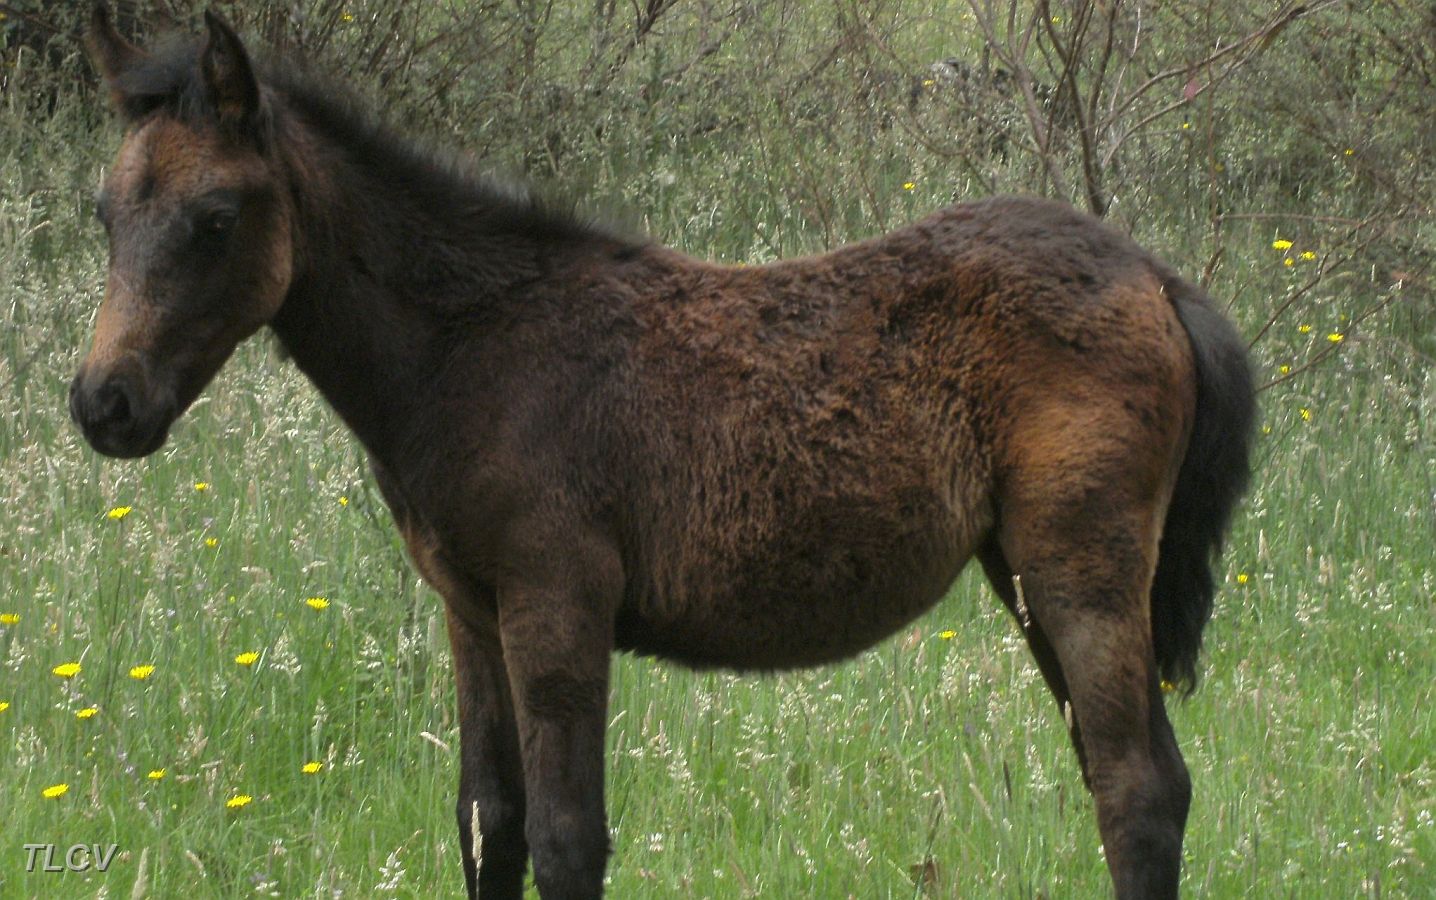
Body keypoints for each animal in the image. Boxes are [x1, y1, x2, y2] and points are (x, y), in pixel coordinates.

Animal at [71, 7, 1254, 898]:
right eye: (104, 212)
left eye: (217, 217)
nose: (102, 405)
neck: (473, 350)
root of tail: (1155, 276)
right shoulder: (471, 612)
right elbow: (488, 827)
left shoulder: (557, 602)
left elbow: (566, 840)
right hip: (1029, 573)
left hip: (1078, 569)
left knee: (1135, 790)